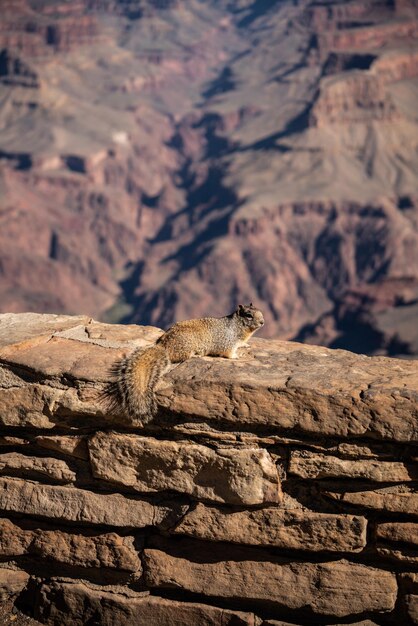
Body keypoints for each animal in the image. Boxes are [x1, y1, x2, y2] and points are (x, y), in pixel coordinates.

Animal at [105, 302, 264, 420]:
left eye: (259, 311)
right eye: (249, 315)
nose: (262, 322)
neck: (238, 327)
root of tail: (163, 345)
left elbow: (242, 344)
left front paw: (245, 346)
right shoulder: (228, 342)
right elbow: (229, 353)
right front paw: (237, 356)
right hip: (187, 346)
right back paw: (195, 355)